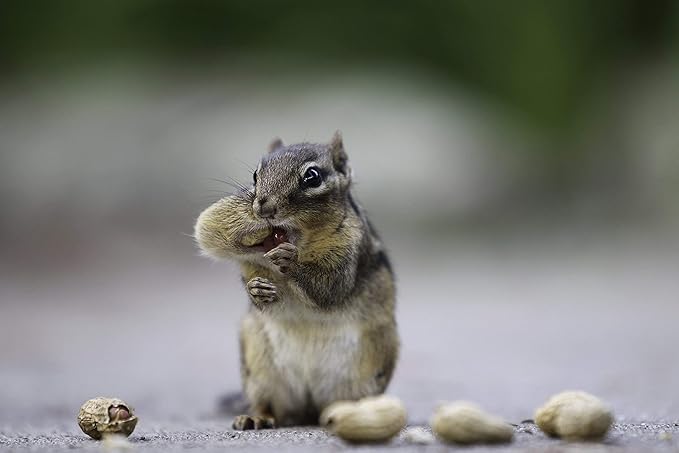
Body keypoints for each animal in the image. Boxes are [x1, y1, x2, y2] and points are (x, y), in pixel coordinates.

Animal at [194, 132, 398, 430]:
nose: (263, 206)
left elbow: (329, 288)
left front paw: (291, 261)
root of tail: (310, 408)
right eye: (255, 174)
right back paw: (256, 416)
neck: (301, 238)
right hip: (259, 371)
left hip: (368, 370)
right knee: (269, 406)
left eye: (312, 177)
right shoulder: (251, 264)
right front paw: (256, 289)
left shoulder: (350, 251)